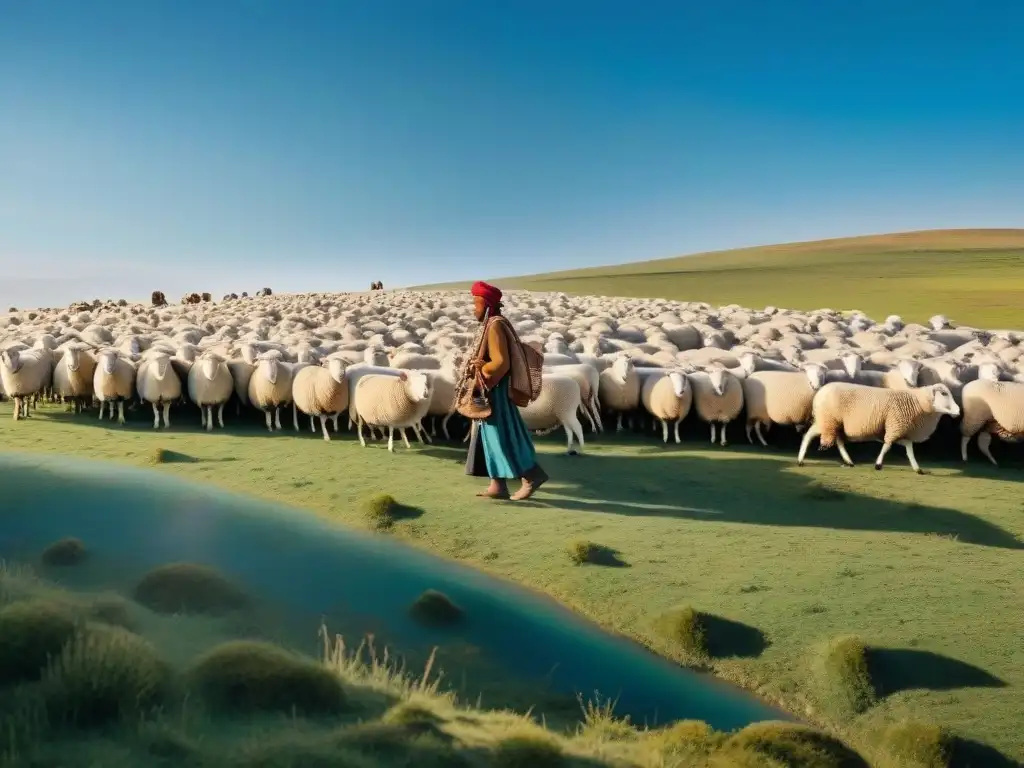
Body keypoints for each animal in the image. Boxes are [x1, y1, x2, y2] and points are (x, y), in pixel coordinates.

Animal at [798, 382, 958, 473]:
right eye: (944, 393)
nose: (958, 411)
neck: (917, 403)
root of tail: (819, 392)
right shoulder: (894, 426)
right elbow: (887, 446)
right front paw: (878, 464)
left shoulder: (900, 430)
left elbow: (909, 450)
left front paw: (917, 468)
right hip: (828, 420)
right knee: (809, 435)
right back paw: (800, 460)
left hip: (835, 423)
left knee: (839, 442)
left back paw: (849, 462)